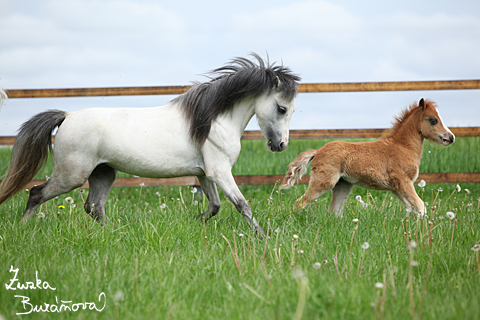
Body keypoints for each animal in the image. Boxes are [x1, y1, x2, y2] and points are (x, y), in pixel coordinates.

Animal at [0, 55, 300, 234]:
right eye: (282, 108)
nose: (280, 145)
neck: (212, 120)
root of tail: (67, 116)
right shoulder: (220, 171)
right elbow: (242, 205)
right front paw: (263, 237)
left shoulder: (205, 173)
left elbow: (215, 206)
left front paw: (195, 223)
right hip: (71, 175)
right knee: (36, 193)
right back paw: (22, 229)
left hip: (104, 173)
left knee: (94, 206)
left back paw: (113, 233)